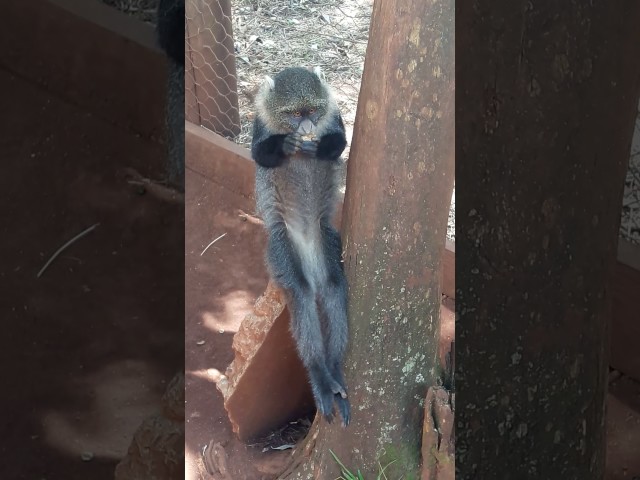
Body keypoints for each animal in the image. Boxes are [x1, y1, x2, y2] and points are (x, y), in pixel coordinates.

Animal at [252, 67, 351, 426]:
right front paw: (287, 144)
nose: (306, 129)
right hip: (282, 250)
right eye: (294, 114)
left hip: (328, 241)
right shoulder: (260, 124)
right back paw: (319, 373)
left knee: (334, 288)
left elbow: (340, 143)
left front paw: (319, 146)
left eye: (312, 111)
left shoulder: (333, 115)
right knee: (302, 294)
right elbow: (259, 154)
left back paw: (334, 370)